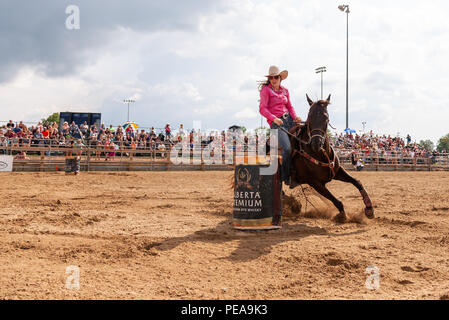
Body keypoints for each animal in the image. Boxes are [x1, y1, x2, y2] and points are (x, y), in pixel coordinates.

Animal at [288, 94, 374, 224]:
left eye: (326, 118)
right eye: (309, 117)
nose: (316, 144)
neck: (320, 154)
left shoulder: (337, 172)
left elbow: (357, 182)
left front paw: (369, 208)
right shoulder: (315, 183)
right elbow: (335, 200)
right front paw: (342, 216)